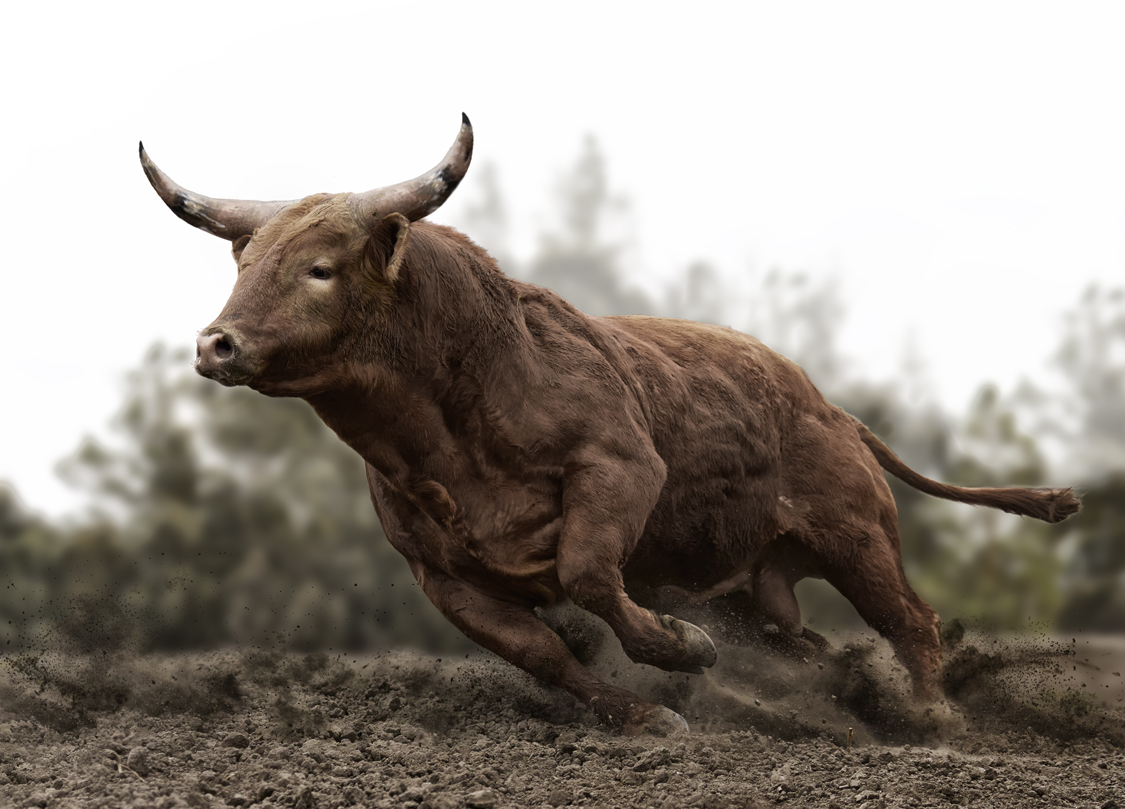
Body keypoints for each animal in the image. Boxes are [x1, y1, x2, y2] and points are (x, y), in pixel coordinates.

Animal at [140, 115, 1080, 735]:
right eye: (245, 264)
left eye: (321, 267)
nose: (217, 342)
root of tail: (831, 409)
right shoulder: (441, 575)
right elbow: (546, 654)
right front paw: (641, 715)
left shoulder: (621, 470)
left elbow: (589, 573)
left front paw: (681, 647)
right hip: (758, 587)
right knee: (812, 642)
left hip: (856, 535)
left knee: (911, 621)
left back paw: (935, 717)